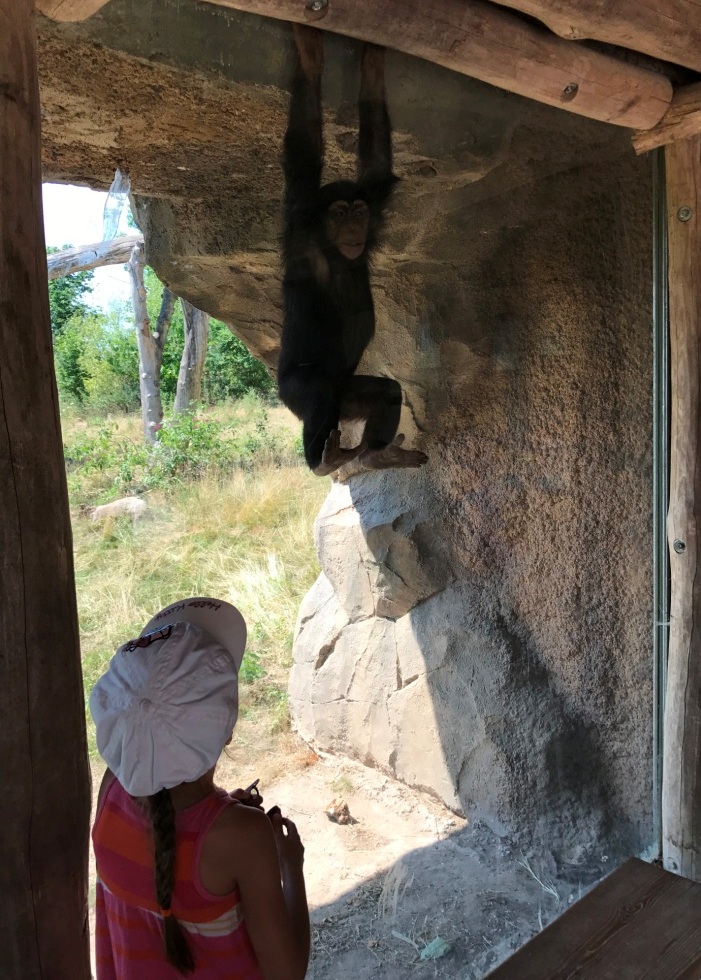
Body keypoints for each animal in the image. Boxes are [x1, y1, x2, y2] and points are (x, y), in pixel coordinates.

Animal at [278, 24, 430, 476]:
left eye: (359, 212)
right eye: (339, 213)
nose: (352, 225)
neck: (331, 251)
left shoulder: (375, 196)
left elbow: (377, 157)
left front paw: (374, 58)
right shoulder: (300, 220)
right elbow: (304, 148)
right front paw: (311, 58)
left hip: (352, 394)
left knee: (386, 393)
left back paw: (381, 452)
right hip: (296, 391)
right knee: (320, 394)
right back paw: (323, 461)